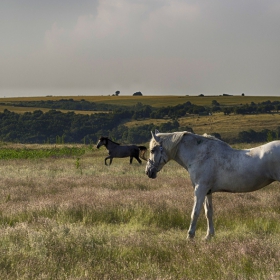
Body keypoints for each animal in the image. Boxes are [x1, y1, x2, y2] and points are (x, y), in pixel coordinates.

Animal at [145, 130, 280, 240]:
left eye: (152, 150)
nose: (148, 172)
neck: (199, 155)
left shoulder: (200, 189)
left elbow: (195, 212)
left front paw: (190, 236)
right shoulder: (207, 191)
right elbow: (208, 212)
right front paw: (208, 236)